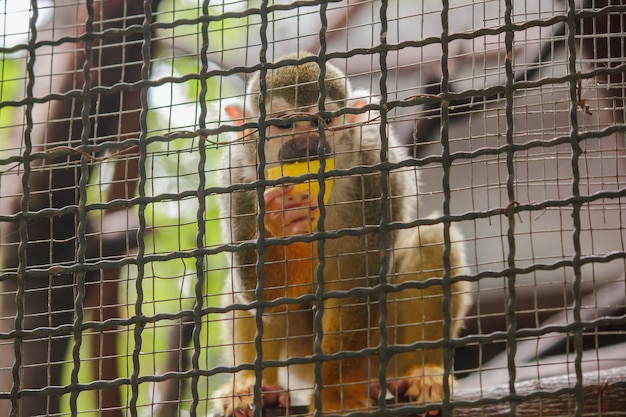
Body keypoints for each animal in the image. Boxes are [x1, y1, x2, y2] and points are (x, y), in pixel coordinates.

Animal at [217, 52, 470, 416]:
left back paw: (423, 372)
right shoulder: (237, 175)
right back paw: (255, 384)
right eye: (283, 125)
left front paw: (337, 396)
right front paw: (280, 223)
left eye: (324, 122)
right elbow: (260, 295)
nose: (305, 147)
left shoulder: (375, 167)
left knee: (432, 237)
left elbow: (359, 283)